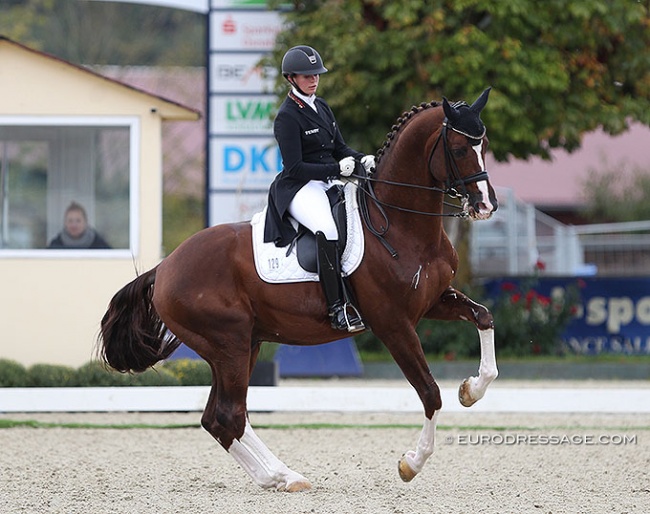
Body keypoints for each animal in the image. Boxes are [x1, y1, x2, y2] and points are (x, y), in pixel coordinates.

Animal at [98, 86, 498, 490]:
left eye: (484, 144)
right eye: (459, 149)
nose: (485, 205)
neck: (400, 223)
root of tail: (165, 267)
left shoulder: (434, 301)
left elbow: (483, 317)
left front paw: (471, 390)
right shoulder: (393, 324)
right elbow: (430, 392)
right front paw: (411, 464)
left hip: (245, 345)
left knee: (219, 418)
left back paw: (278, 476)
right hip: (229, 345)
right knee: (229, 415)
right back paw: (283, 475)